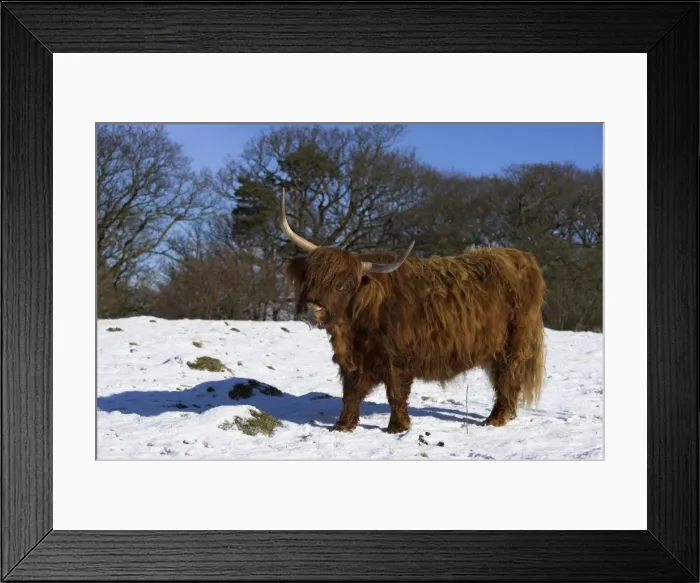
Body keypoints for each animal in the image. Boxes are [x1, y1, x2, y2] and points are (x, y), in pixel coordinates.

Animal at [279, 188, 547, 433]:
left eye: (343, 285)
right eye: (310, 278)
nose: (312, 309)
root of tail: (522, 257)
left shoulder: (398, 358)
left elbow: (396, 393)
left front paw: (397, 427)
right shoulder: (355, 361)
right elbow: (351, 393)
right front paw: (343, 425)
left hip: (513, 344)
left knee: (508, 379)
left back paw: (496, 419)